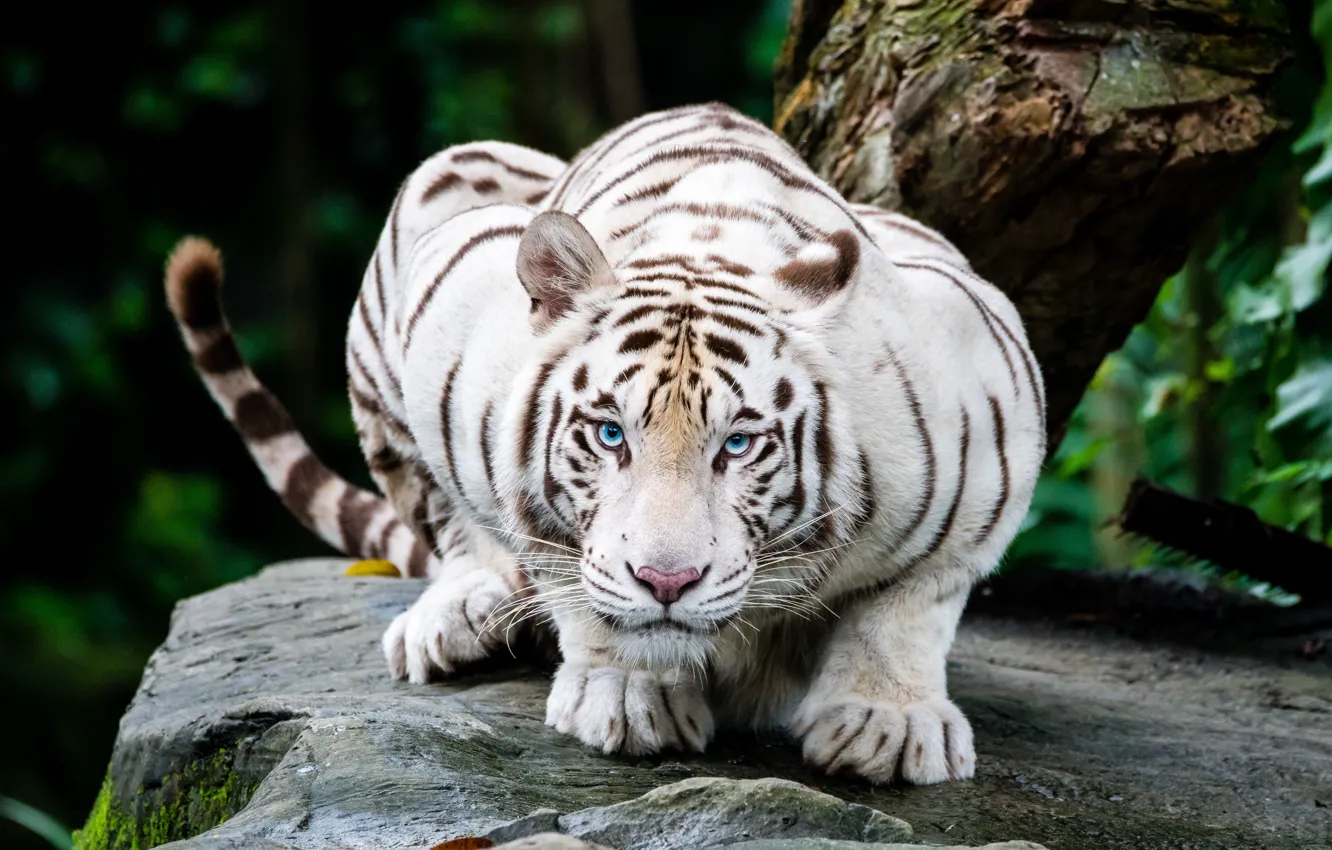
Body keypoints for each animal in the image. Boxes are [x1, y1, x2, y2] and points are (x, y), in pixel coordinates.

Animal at [164, 102, 1045, 785]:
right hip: (441, 185)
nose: (668, 581)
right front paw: (626, 692)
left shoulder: (991, 402)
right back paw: (458, 615)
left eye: (738, 445)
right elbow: (554, 557)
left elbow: (911, 601)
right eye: (610, 434)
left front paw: (886, 724)